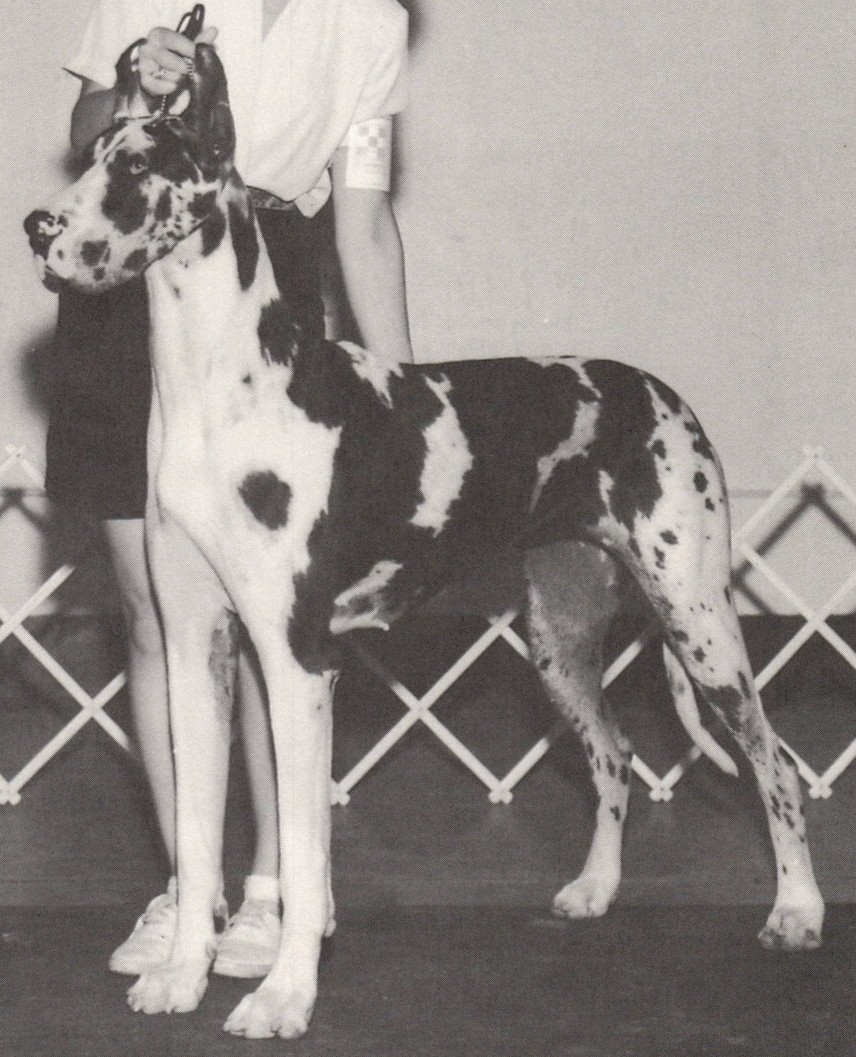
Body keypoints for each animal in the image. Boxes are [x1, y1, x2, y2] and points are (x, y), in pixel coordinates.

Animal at [25, 44, 824, 1040]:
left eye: (135, 169)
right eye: (93, 152)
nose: (37, 226)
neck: (218, 386)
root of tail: (661, 392)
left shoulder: (298, 661)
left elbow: (304, 851)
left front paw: (283, 994)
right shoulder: (193, 647)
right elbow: (200, 836)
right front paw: (181, 974)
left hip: (700, 620)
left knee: (775, 763)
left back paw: (797, 910)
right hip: (559, 639)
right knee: (614, 754)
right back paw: (596, 888)